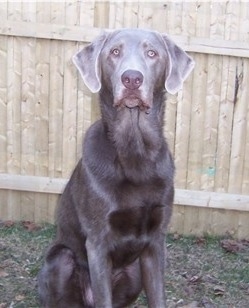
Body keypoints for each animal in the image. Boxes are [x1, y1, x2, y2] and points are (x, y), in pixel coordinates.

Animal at [38, 27, 195, 306]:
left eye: (152, 53)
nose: (132, 78)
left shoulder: (155, 242)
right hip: (61, 258)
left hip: (133, 272)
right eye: (114, 52)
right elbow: (104, 298)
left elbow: (158, 296)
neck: (135, 153)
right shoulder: (97, 243)